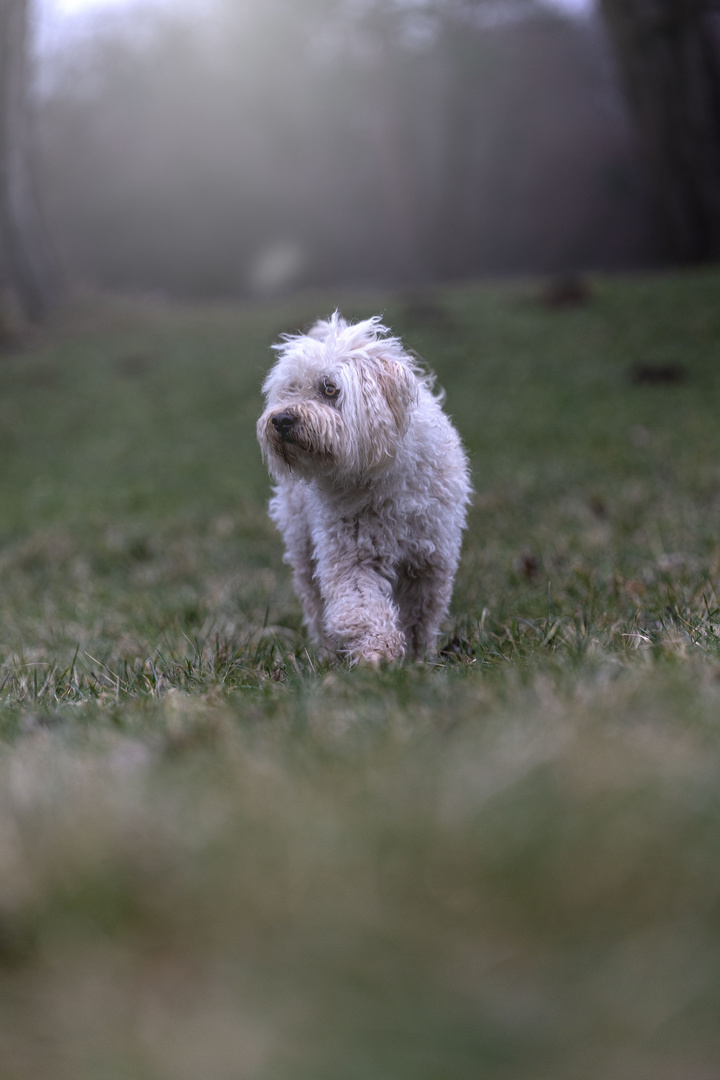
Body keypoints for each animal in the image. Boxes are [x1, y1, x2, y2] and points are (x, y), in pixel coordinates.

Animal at [257, 313, 472, 660]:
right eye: (290, 389)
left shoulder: (429, 560)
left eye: (330, 389)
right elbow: (362, 606)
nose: (281, 421)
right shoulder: (350, 555)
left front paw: (417, 656)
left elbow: (420, 615)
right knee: (315, 602)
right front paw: (378, 651)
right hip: (302, 545)